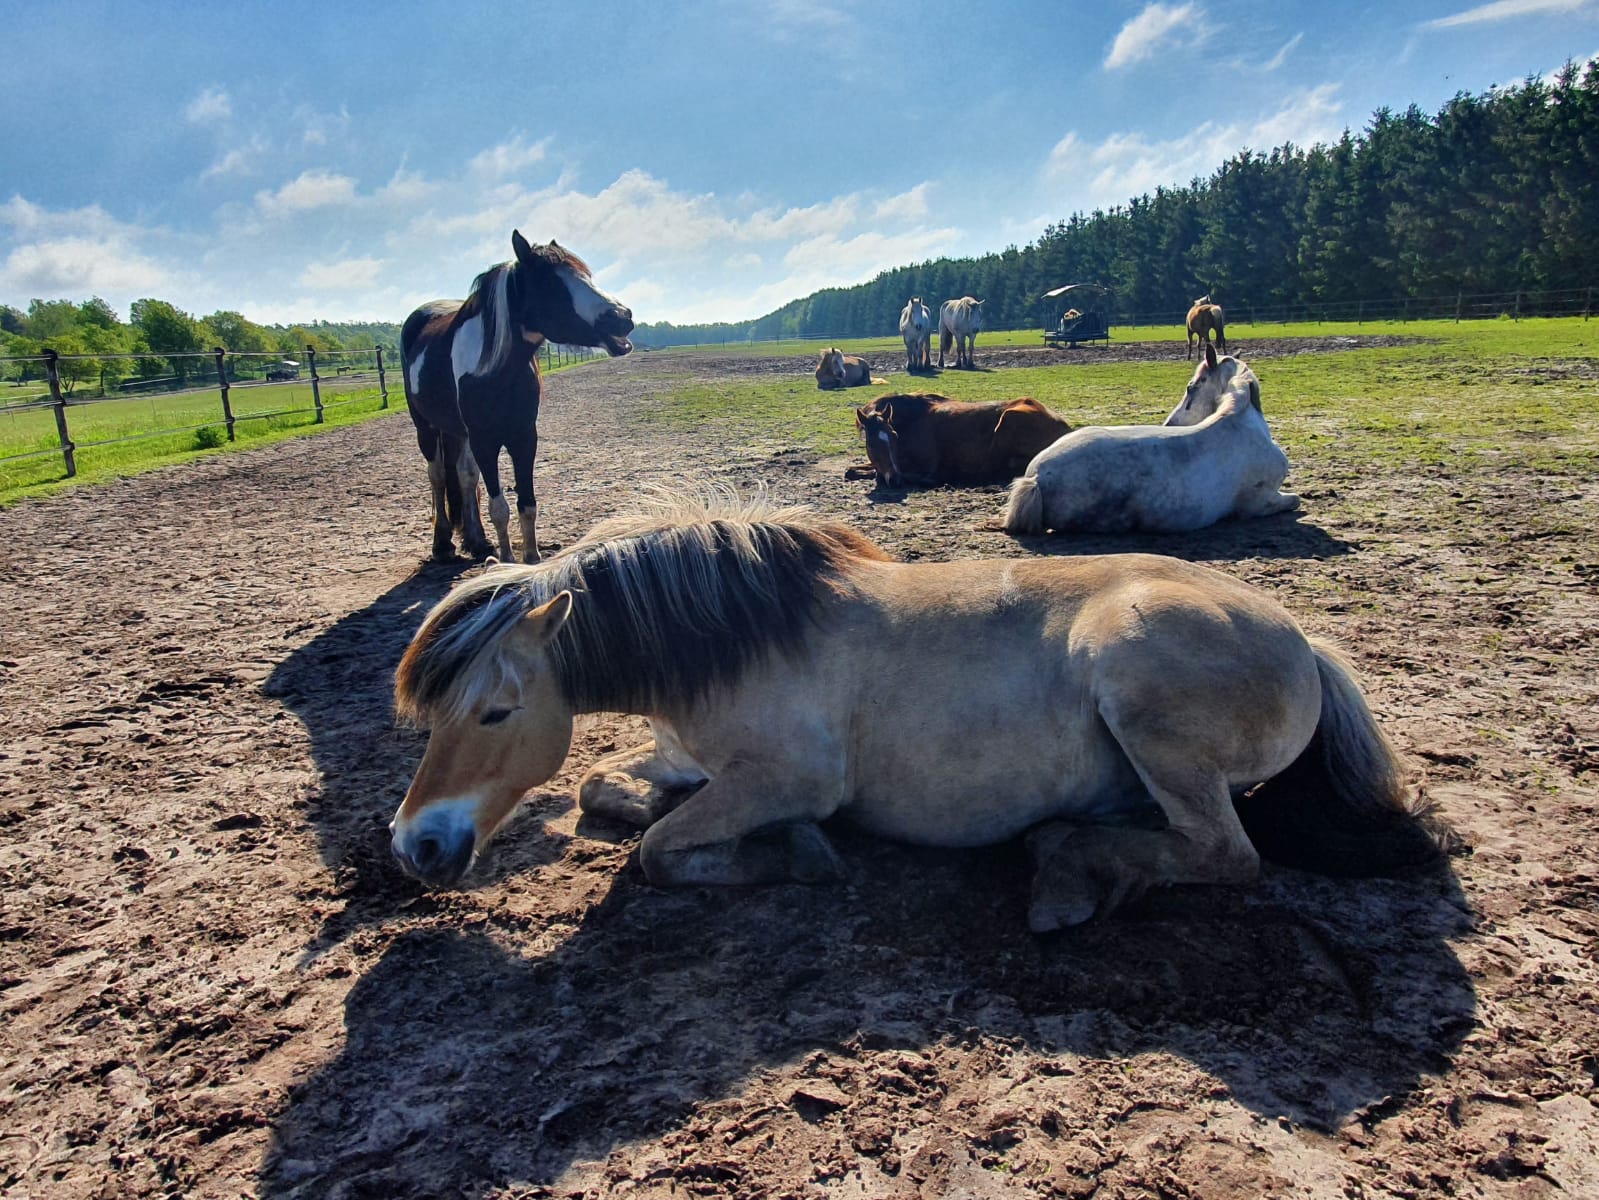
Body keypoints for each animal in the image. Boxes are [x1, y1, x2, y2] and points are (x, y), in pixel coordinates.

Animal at [389, 492, 1437, 928]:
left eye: (493, 713)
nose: (415, 847)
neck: (733, 638)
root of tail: (1304, 642)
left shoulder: (786, 779)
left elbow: (656, 851)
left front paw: (793, 856)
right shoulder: (691, 759)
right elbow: (604, 793)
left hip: (1138, 685)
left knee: (1225, 854)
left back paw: (1066, 869)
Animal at [401, 231, 634, 564]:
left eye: (586, 275)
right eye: (550, 282)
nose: (622, 317)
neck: (496, 368)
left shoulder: (524, 437)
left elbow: (527, 504)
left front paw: (532, 559)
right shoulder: (485, 440)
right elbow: (499, 507)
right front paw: (508, 562)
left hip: (459, 433)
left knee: (464, 475)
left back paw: (477, 541)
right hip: (427, 427)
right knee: (437, 476)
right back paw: (442, 544)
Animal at [855, 393, 1072, 487]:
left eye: (894, 436)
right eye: (871, 443)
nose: (896, 479)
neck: (911, 422)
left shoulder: (925, 464)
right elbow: (852, 471)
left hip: (1008, 418)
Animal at [1001, 345, 1299, 535]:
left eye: (1191, 387)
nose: (1170, 423)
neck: (1241, 420)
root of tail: (1036, 478)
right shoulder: (1260, 503)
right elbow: (1295, 501)